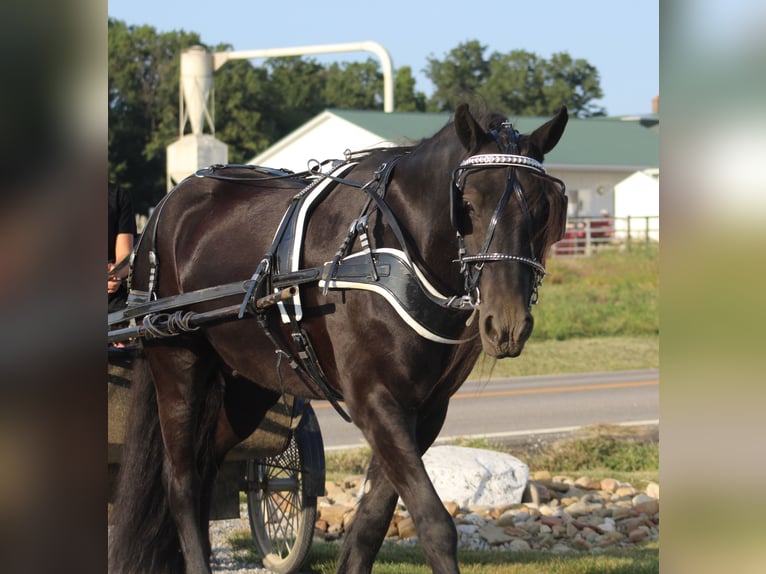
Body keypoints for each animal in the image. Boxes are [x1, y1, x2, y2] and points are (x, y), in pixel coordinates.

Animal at [109, 104, 568, 574]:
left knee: (207, 467)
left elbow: (372, 520)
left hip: (247, 385)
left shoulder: (424, 410)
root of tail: (166, 208)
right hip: (178, 361)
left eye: (543, 209)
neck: (388, 253)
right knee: (181, 481)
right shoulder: (373, 399)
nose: (507, 324)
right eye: (468, 205)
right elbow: (433, 522)